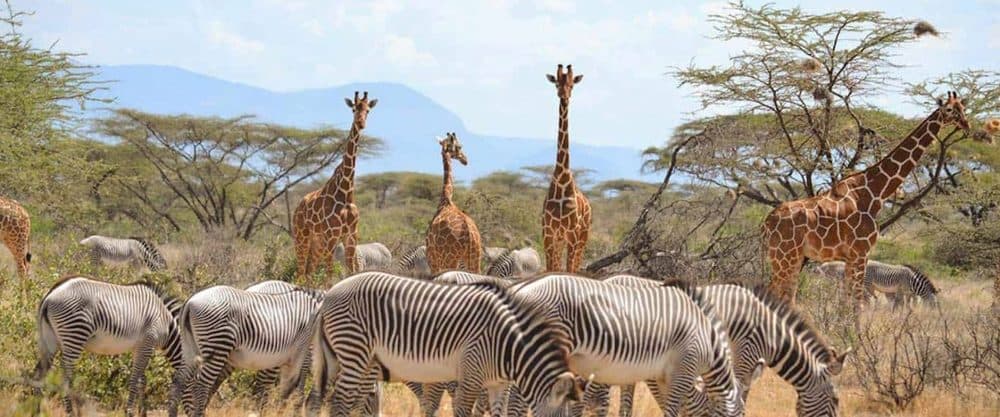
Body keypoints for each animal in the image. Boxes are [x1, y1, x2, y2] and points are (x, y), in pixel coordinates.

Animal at [292, 91, 376, 279]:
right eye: (354, 109)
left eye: (368, 110)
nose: (361, 123)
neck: (346, 191)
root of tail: (298, 206)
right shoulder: (332, 234)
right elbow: (330, 273)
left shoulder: (351, 235)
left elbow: (351, 270)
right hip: (302, 236)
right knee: (300, 272)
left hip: (317, 242)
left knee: (309, 271)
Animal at [426, 132, 482, 274]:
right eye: (460, 146)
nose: (465, 160)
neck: (446, 200)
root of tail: (469, 235)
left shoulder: (432, 258)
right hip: (475, 259)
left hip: (450, 259)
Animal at [763, 92, 971, 305]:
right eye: (949, 109)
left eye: (963, 108)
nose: (966, 125)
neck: (874, 192)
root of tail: (767, 223)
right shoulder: (861, 252)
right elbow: (857, 302)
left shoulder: (850, 257)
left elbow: (848, 300)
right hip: (784, 257)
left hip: (792, 258)